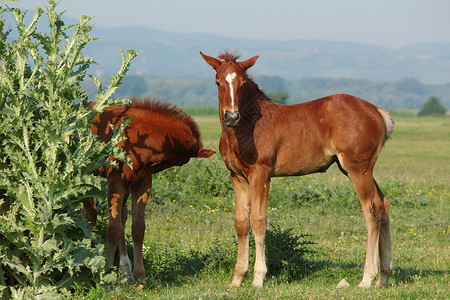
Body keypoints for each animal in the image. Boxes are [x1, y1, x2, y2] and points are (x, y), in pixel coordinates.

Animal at [83, 98, 216, 282]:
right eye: (183, 161)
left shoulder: (142, 182)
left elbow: (138, 228)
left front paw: (139, 275)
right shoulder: (116, 180)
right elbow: (113, 229)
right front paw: (108, 272)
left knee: (120, 215)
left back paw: (126, 271)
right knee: (91, 213)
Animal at [200, 51, 394, 288]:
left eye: (243, 83)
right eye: (218, 82)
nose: (231, 117)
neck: (248, 126)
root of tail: (377, 111)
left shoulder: (260, 175)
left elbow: (258, 221)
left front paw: (258, 278)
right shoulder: (237, 177)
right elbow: (241, 223)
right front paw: (237, 279)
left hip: (358, 169)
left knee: (371, 212)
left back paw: (367, 278)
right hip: (358, 169)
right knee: (383, 205)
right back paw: (383, 277)